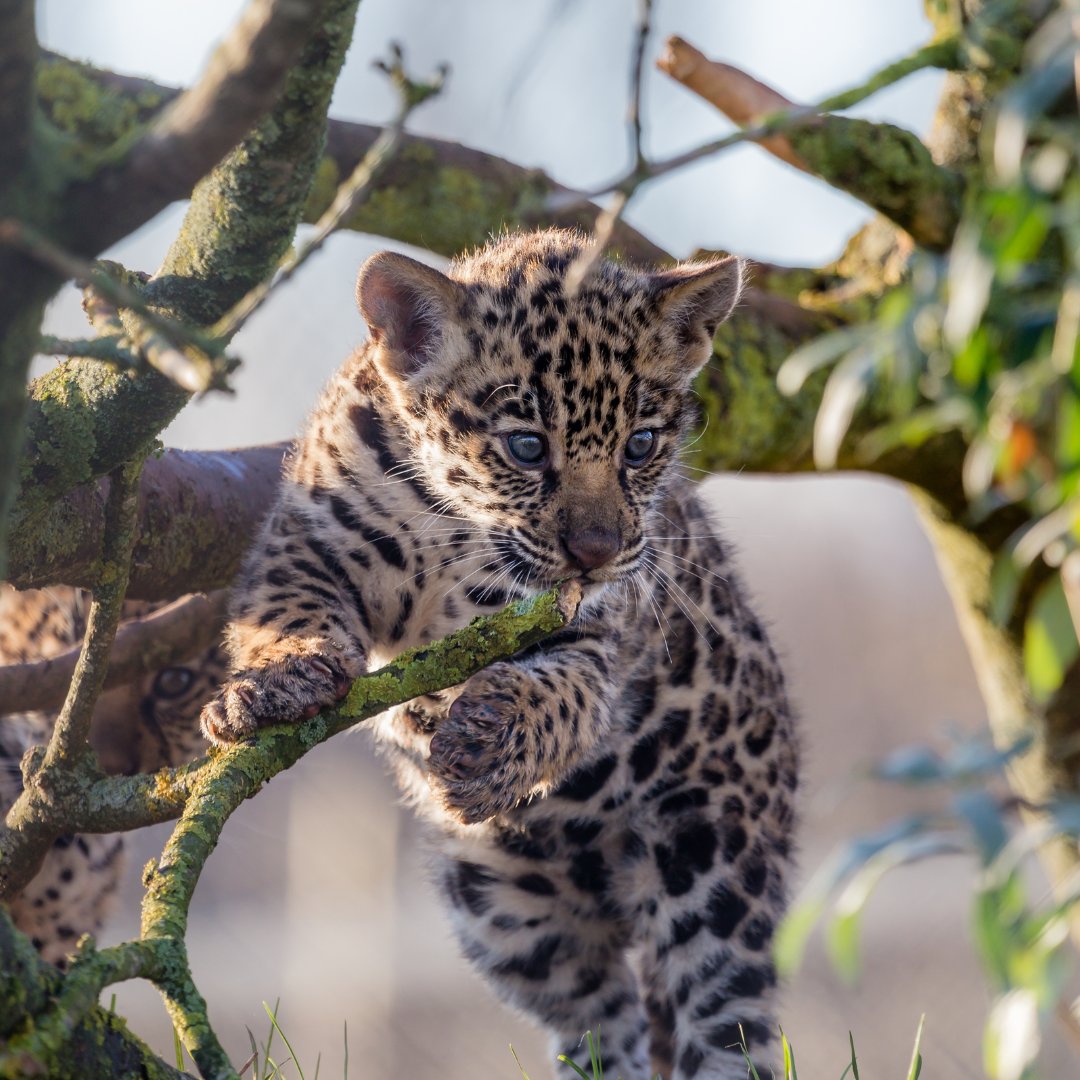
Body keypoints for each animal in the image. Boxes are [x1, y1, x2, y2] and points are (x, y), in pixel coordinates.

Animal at [200, 228, 799, 1080]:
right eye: (524, 447)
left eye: (641, 446)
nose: (597, 553)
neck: (451, 531)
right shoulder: (303, 544)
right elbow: (288, 615)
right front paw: (271, 686)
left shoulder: (594, 635)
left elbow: (553, 692)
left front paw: (482, 742)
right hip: (513, 920)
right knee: (602, 1026)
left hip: (716, 873)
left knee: (720, 1028)